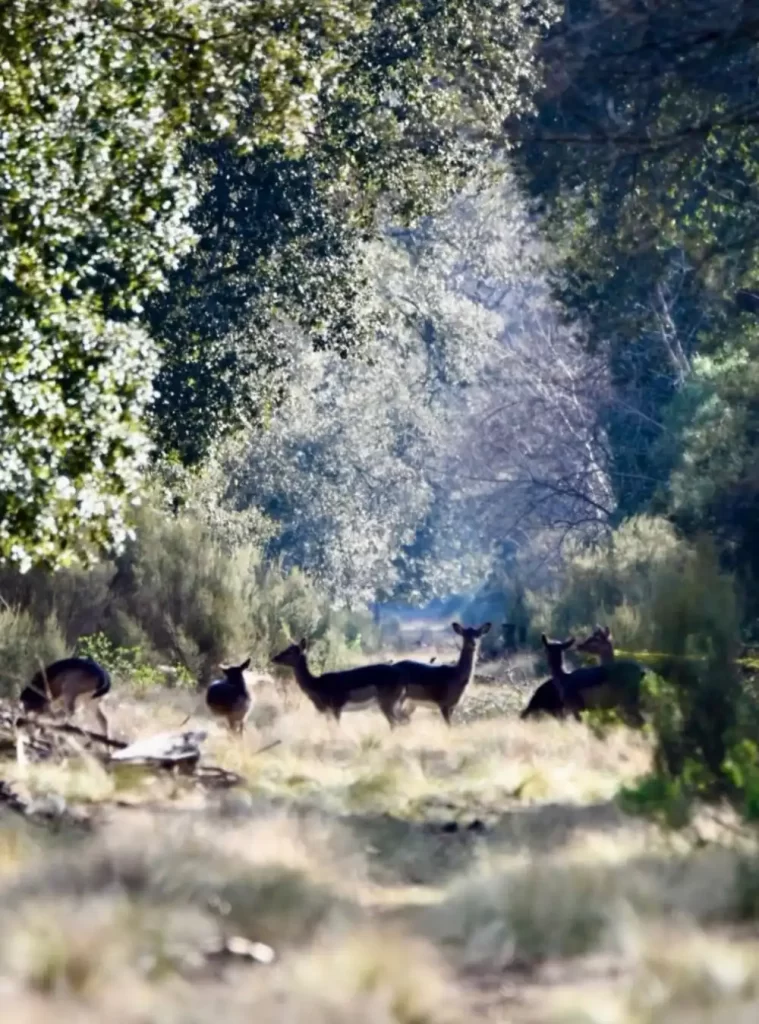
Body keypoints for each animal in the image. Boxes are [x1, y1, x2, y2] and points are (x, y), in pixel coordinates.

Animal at [270, 638, 405, 729]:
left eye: (291, 651)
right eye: (287, 648)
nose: (274, 658)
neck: (316, 685)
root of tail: (400, 674)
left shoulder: (336, 706)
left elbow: (336, 729)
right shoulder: (327, 711)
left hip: (386, 701)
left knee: (396, 723)